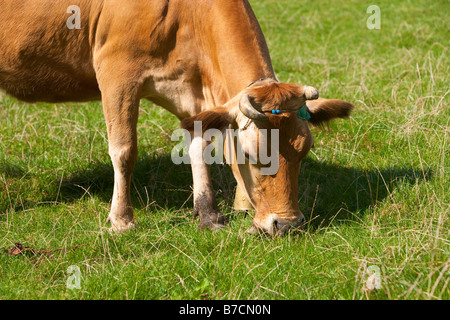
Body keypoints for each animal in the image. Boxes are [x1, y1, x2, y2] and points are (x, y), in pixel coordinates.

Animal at [0, 0, 352, 235]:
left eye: (304, 151)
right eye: (251, 154)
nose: (287, 224)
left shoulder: (193, 91)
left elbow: (199, 149)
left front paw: (209, 214)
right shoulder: (116, 71)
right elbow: (124, 150)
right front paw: (122, 220)